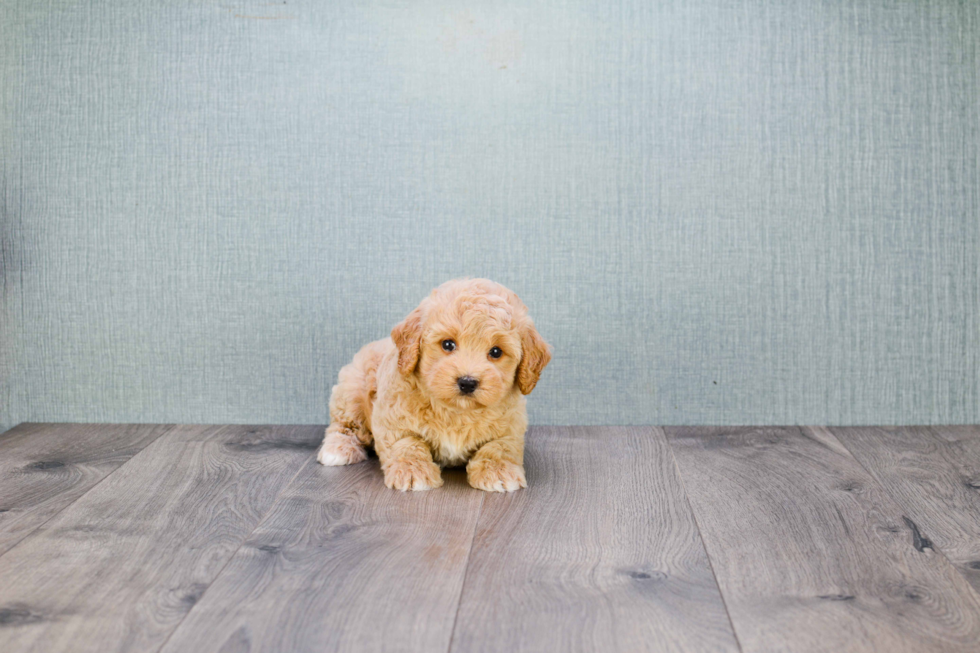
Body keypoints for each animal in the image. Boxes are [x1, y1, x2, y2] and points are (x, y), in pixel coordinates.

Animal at [320, 278, 552, 492]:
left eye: (496, 352)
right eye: (448, 344)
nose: (467, 382)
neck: (456, 411)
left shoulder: (512, 425)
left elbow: (500, 446)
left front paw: (498, 471)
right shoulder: (391, 419)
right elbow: (406, 443)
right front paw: (412, 471)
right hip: (350, 392)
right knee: (344, 425)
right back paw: (337, 449)